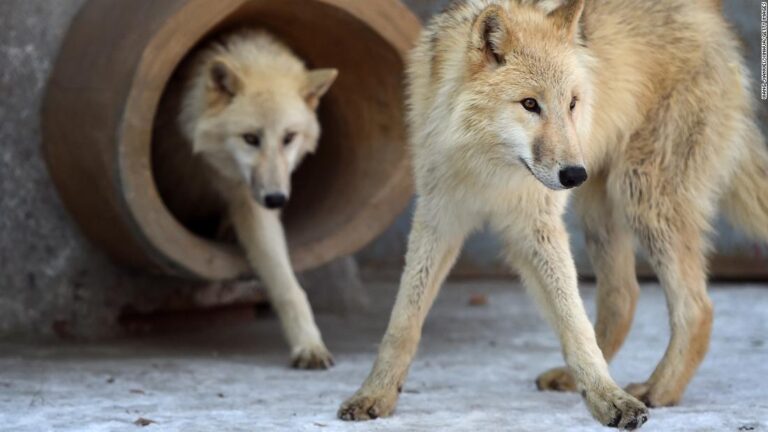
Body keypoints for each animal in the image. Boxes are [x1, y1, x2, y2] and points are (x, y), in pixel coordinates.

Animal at [153, 30, 338, 369]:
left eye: (288, 137)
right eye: (251, 138)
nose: (276, 199)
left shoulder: (252, 204)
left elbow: (288, 286)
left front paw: (308, 345)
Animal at [339, 0, 767, 427]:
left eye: (572, 103)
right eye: (530, 104)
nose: (574, 174)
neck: (489, 169)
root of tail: (715, 21)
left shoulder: (538, 228)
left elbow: (575, 325)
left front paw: (612, 401)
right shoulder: (439, 219)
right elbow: (403, 321)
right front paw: (374, 394)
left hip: (640, 196)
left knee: (697, 308)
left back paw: (658, 389)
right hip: (600, 211)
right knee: (623, 296)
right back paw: (578, 378)